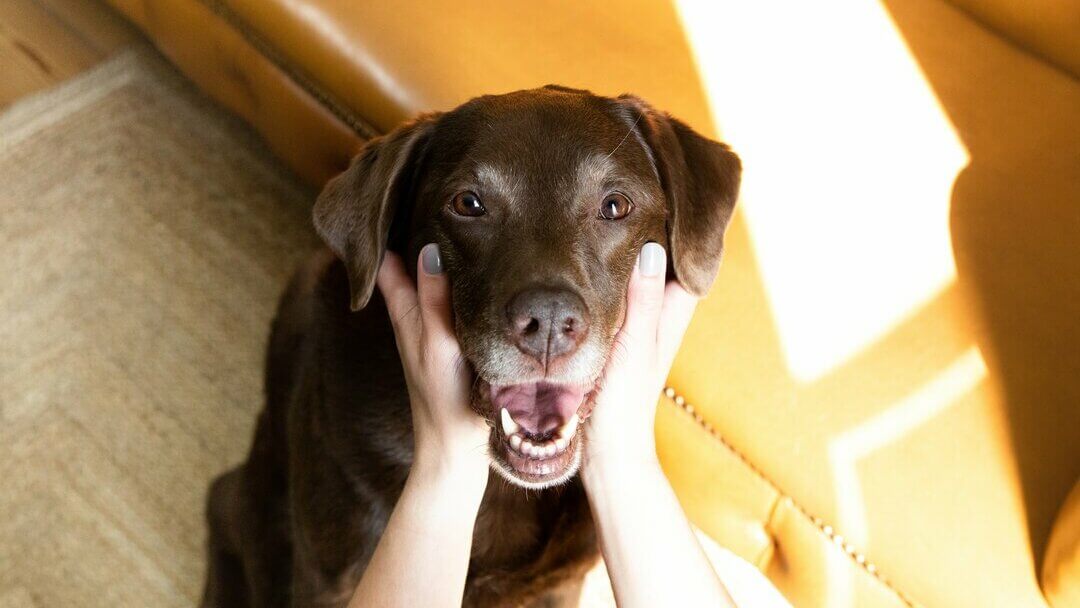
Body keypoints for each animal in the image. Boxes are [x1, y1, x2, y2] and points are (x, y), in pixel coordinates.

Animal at [200, 85, 743, 608]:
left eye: (615, 206)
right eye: (468, 204)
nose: (549, 322)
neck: (503, 489)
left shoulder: (558, 585)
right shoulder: (329, 577)